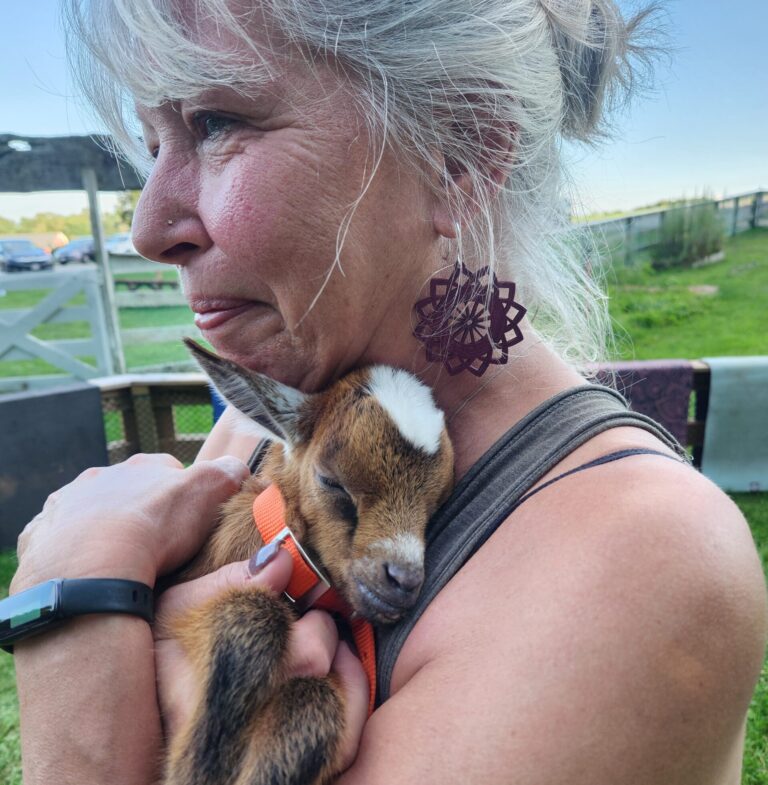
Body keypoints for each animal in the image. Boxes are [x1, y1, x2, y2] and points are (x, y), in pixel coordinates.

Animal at [162, 339, 454, 785]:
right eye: (332, 482)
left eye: (437, 506)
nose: (403, 580)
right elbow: (250, 612)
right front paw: (201, 761)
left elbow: (313, 698)